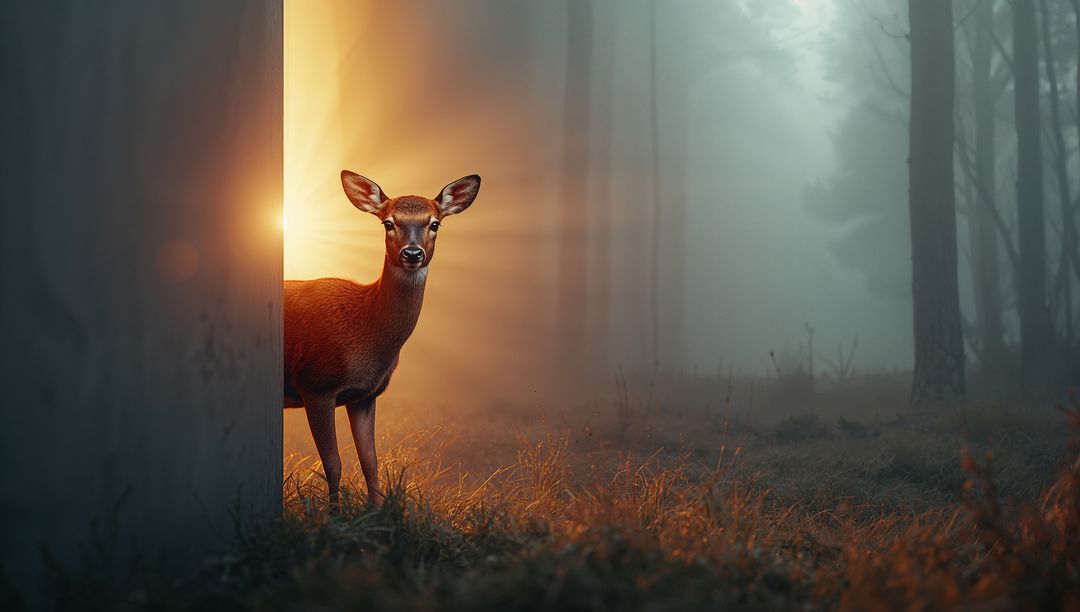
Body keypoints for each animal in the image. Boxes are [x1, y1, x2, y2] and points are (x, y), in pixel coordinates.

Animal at [283, 171, 481, 506]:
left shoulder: (365, 395)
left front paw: (376, 513)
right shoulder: (316, 383)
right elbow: (333, 464)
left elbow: (370, 462)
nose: (412, 253)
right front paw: (333, 516)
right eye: (388, 222)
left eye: (435, 223)